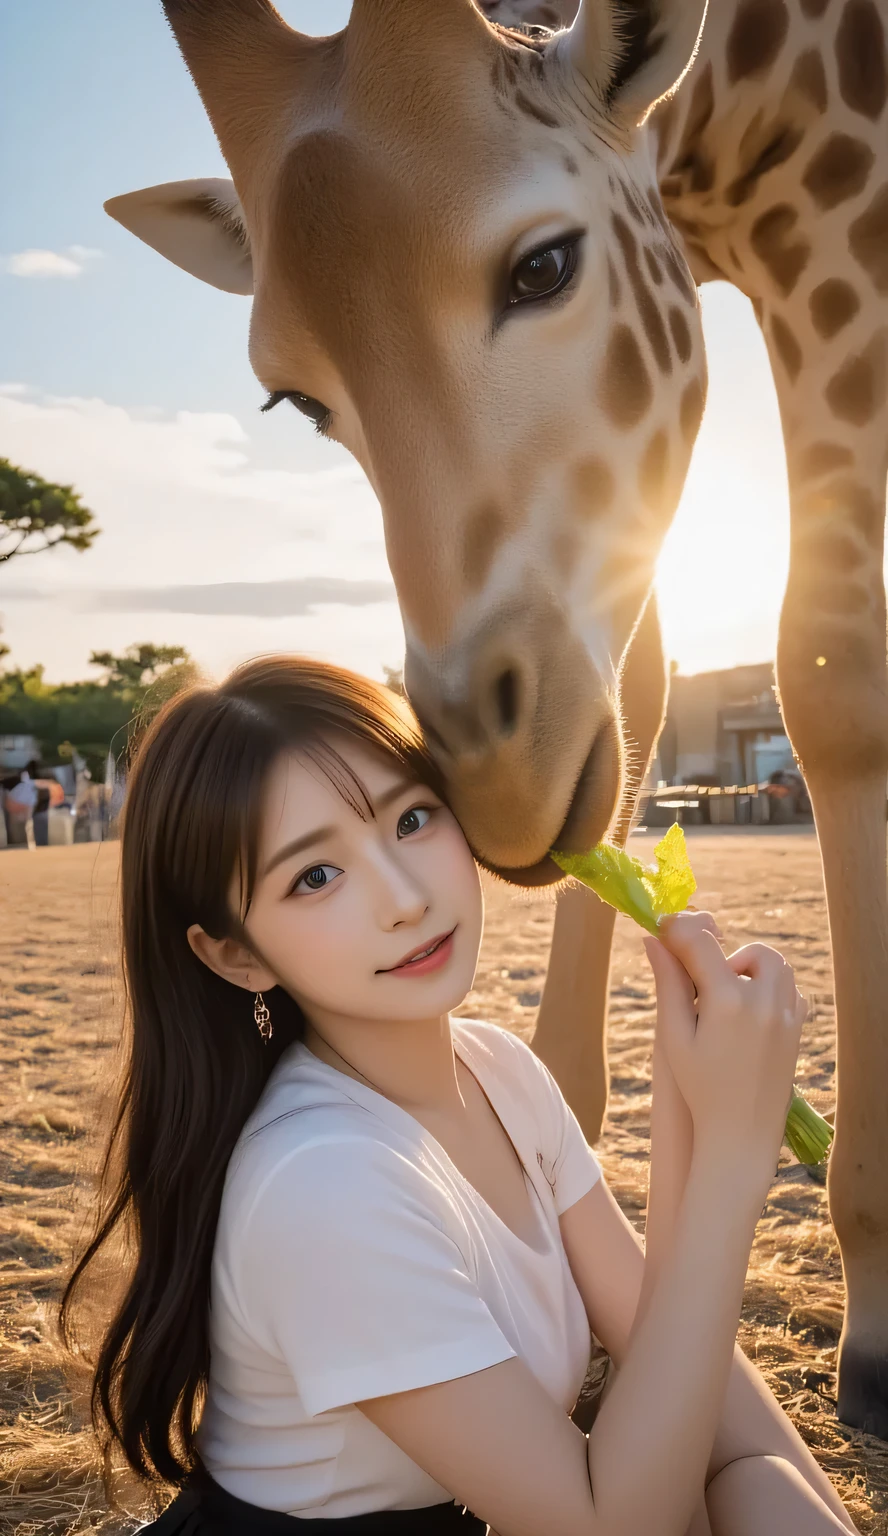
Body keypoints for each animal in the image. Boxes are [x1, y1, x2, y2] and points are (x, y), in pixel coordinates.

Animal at [105, 0, 888, 1438]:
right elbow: (641, 688)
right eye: (296, 397)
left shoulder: (834, 222)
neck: (774, 78)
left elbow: (831, 666)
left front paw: (878, 1321)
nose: (500, 785)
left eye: (545, 265)